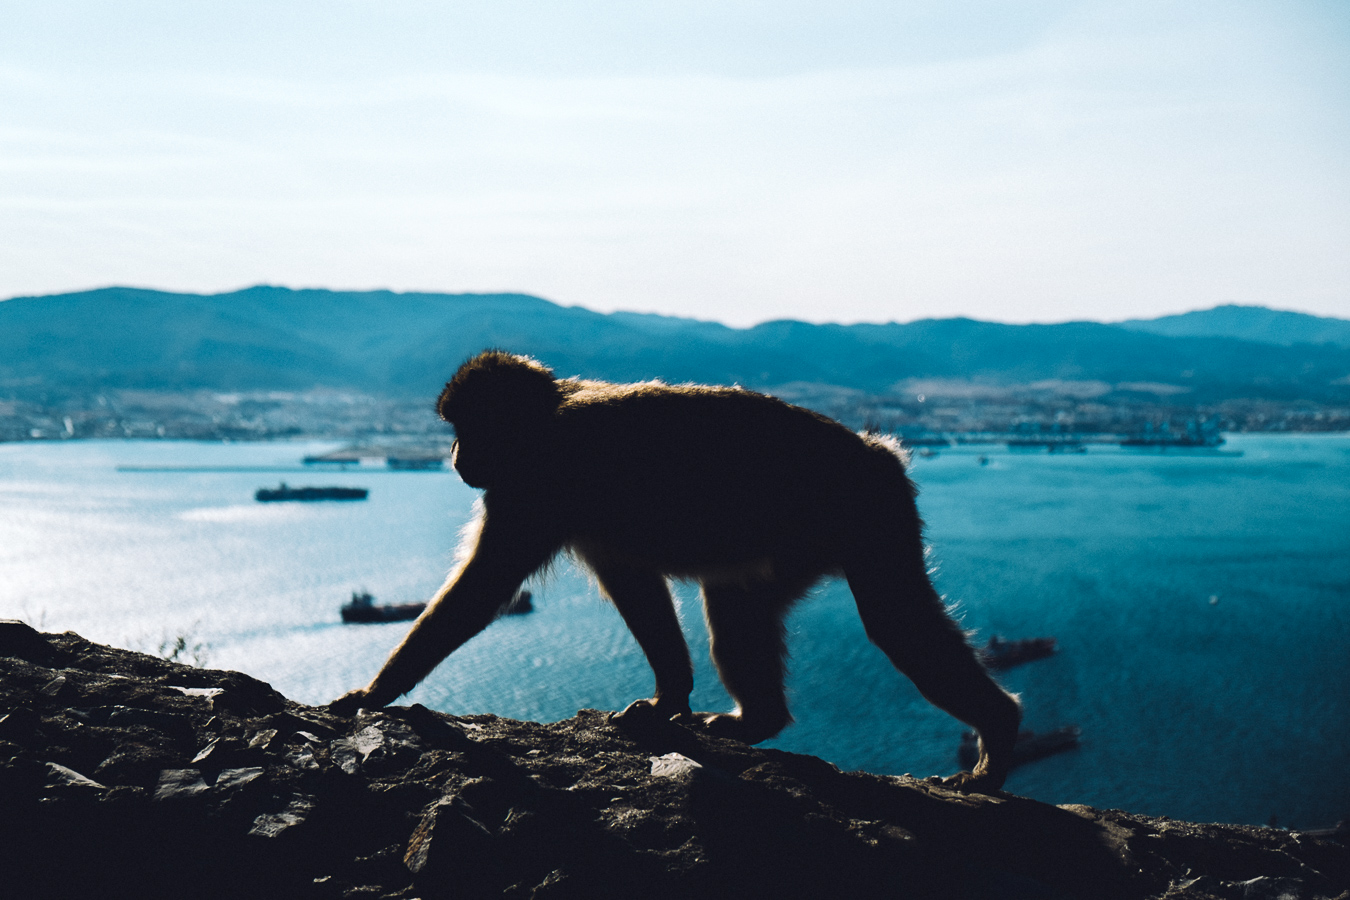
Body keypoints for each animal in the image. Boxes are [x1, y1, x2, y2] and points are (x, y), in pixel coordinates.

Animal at [332, 350, 1015, 788]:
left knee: (895, 624)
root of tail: (876, 451)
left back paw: (997, 734)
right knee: (738, 603)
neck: (544, 424)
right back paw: (758, 721)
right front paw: (670, 697)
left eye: (466, 427)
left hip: (866, 515)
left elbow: (485, 588)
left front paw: (374, 693)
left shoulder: (534, 489)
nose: (453, 453)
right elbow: (632, 582)